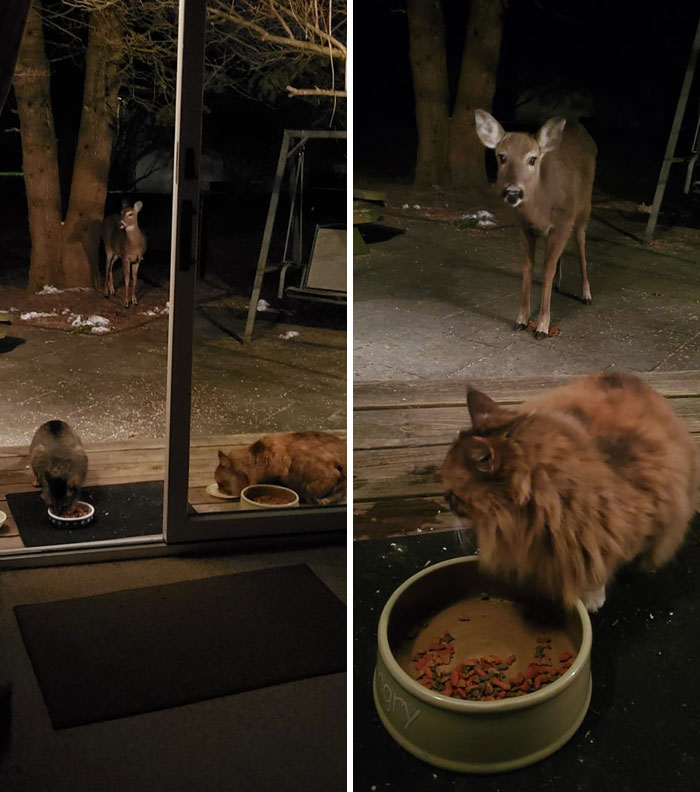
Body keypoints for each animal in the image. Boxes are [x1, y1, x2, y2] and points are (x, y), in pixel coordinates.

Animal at [476, 107, 596, 338]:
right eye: (501, 156)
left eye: (532, 159)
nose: (513, 191)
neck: (540, 210)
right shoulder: (524, 226)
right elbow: (528, 266)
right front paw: (521, 319)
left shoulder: (563, 222)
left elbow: (547, 268)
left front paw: (542, 326)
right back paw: (559, 283)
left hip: (584, 207)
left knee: (581, 242)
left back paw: (586, 294)